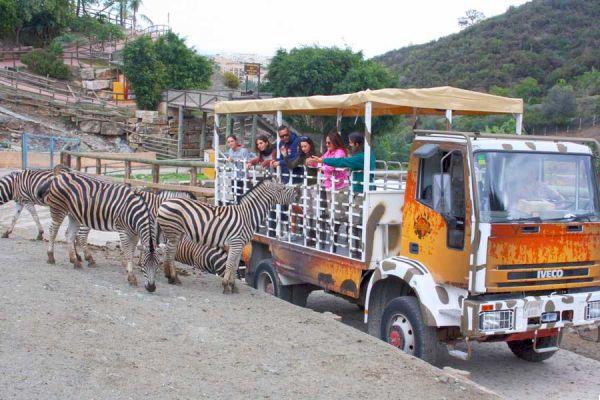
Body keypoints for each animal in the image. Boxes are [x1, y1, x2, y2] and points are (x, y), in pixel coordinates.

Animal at [155, 180, 296, 292]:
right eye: (284, 188)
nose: (297, 194)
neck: (247, 215)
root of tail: (164, 202)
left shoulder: (240, 245)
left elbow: (235, 265)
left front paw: (232, 285)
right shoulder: (235, 242)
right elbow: (230, 264)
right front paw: (226, 286)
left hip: (176, 233)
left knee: (169, 252)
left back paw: (171, 277)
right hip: (173, 231)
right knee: (170, 253)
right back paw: (172, 277)